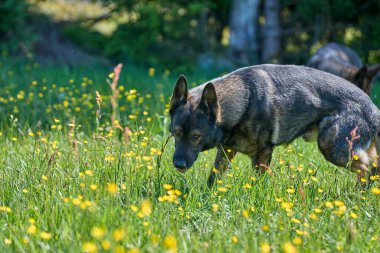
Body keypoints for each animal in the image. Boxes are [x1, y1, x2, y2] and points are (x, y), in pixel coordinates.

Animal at [169, 65, 380, 188]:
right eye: (176, 133)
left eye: (196, 136)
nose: (178, 164)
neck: (244, 102)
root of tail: (372, 107)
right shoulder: (227, 150)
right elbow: (213, 178)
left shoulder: (262, 154)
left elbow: (258, 184)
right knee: (374, 167)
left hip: (332, 146)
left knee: (368, 168)